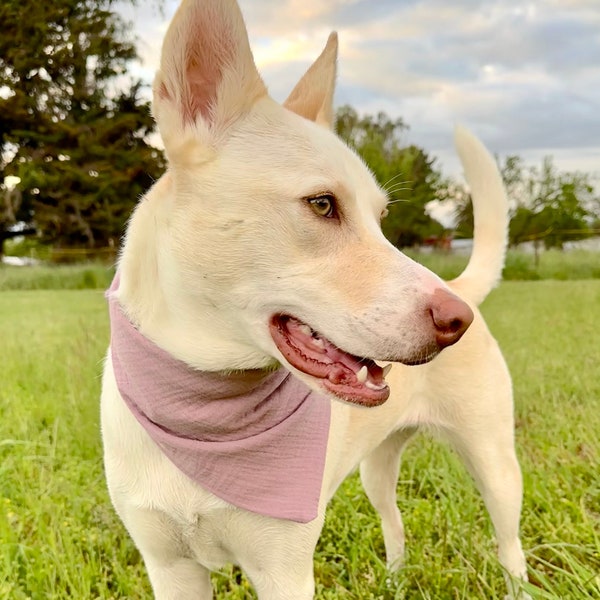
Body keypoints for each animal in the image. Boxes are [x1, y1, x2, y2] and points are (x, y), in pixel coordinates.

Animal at [99, 2, 528, 596]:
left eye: (380, 218)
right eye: (322, 204)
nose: (455, 320)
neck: (202, 406)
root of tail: (462, 286)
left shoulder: (284, 571)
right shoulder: (169, 567)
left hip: (495, 465)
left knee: (511, 547)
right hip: (376, 467)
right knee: (394, 523)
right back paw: (394, 581)